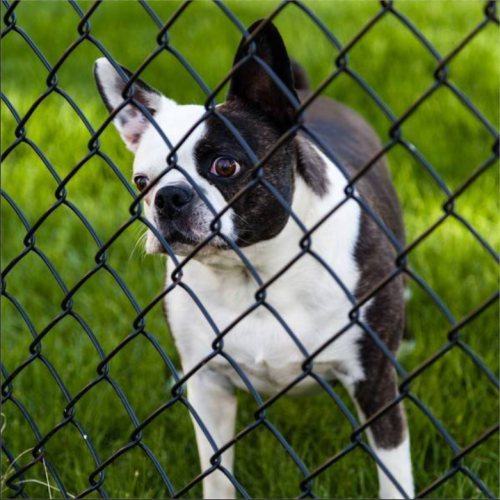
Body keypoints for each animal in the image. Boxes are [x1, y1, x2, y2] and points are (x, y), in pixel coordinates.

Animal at [94, 17, 414, 498]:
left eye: (225, 166)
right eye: (141, 182)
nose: (168, 197)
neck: (254, 274)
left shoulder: (374, 383)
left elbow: (394, 477)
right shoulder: (209, 387)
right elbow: (215, 472)